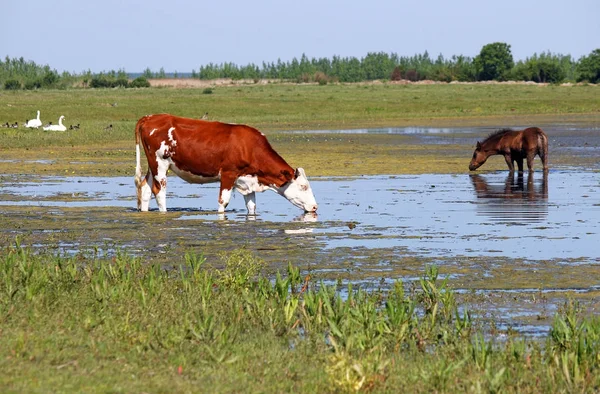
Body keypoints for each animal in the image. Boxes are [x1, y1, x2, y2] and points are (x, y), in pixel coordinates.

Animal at [135, 112, 318, 214]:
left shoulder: (247, 180)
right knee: (159, 192)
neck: (249, 147)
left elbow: (252, 206)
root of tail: (149, 117)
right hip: (160, 164)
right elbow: (223, 201)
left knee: (145, 189)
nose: (315, 207)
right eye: (303, 186)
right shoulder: (228, 174)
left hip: (153, 166)